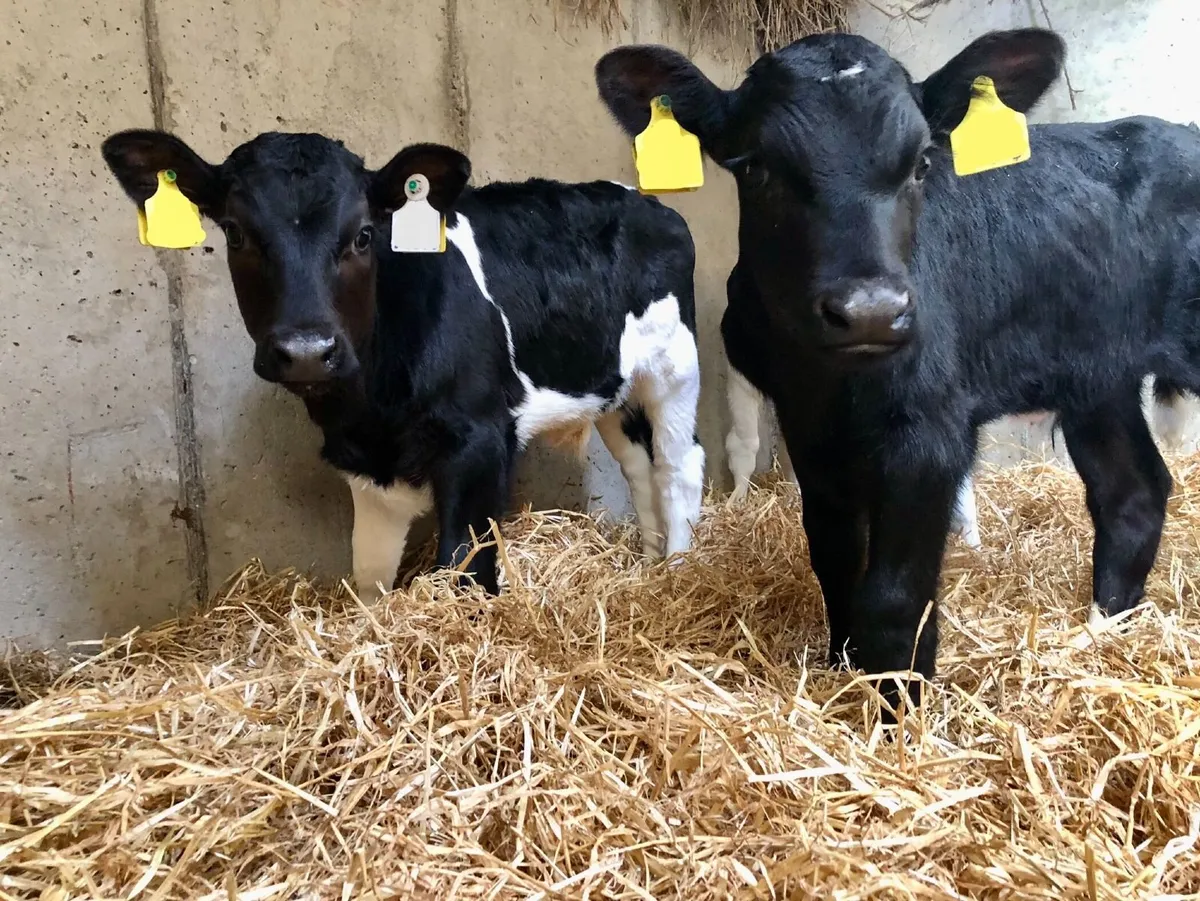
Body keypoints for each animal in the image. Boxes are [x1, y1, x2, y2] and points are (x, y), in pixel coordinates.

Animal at [101, 130, 706, 600]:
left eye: (364, 234)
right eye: (235, 232)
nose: (307, 350)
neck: (375, 410)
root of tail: (645, 201)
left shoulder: (480, 441)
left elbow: (464, 572)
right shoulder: (366, 469)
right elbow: (369, 579)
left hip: (676, 368)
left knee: (679, 464)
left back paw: (677, 571)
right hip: (615, 388)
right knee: (639, 465)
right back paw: (649, 564)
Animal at [595, 27, 1200, 709]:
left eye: (921, 164)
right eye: (756, 166)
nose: (870, 313)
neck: (838, 388)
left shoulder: (931, 431)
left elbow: (895, 595)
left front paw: (900, 705)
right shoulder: (809, 428)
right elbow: (834, 558)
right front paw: (841, 669)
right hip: (1097, 375)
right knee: (1132, 493)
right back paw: (1101, 629)